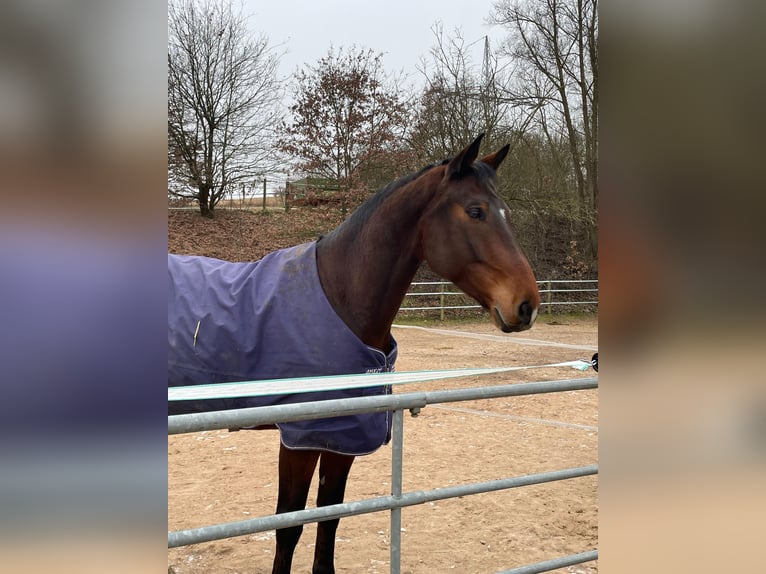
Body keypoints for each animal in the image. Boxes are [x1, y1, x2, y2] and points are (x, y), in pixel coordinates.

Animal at [168, 134, 541, 574]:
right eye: (475, 211)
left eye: (506, 213)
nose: (527, 305)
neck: (338, 295)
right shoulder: (301, 439)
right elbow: (288, 526)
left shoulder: (341, 439)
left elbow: (330, 518)